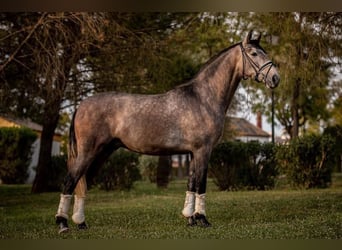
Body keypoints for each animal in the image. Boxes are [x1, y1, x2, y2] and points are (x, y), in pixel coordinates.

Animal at [56, 30, 280, 233]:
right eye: (253, 53)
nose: (275, 78)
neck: (203, 98)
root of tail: (81, 105)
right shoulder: (203, 150)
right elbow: (201, 184)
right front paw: (202, 219)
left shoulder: (192, 152)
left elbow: (191, 183)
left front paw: (190, 219)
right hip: (89, 152)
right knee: (70, 180)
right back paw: (62, 224)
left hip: (103, 152)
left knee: (82, 182)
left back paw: (81, 223)